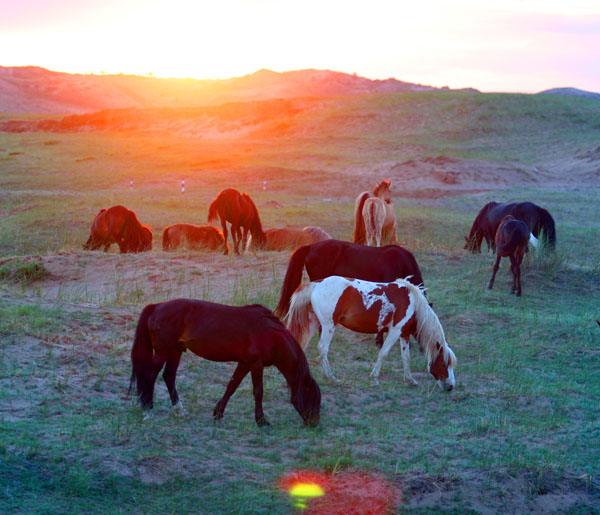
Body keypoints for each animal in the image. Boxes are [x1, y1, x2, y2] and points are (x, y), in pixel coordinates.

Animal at [129, 298, 322, 428]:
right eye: (311, 396)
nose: (314, 423)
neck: (270, 334)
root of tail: (157, 306)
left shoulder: (245, 363)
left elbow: (231, 387)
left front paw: (218, 413)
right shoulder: (256, 364)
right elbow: (258, 392)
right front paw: (261, 420)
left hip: (175, 351)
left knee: (169, 376)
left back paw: (179, 410)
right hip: (163, 352)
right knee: (151, 376)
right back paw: (148, 408)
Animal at [284, 276, 458, 390]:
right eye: (445, 363)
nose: (450, 386)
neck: (414, 304)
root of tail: (316, 284)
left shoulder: (404, 334)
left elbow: (406, 357)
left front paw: (410, 379)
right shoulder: (394, 332)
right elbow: (383, 353)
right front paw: (374, 377)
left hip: (314, 323)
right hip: (328, 326)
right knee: (322, 349)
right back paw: (332, 378)